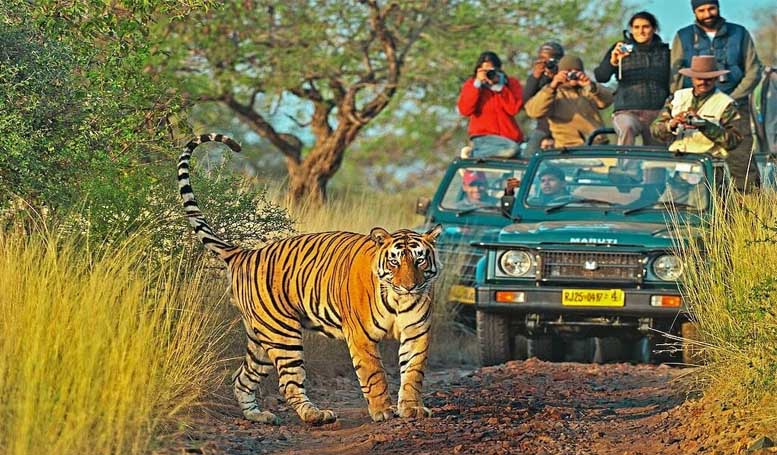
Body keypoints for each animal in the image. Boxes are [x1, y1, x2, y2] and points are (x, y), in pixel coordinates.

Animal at [177, 134, 443, 425]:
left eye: (420, 260)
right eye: (394, 262)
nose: (409, 286)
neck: (397, 300)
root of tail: (244, 253)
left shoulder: (417, 331)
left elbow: (413, 373)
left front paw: (412, 408)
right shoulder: (361, 337)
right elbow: (374, 375)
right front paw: (383, 410)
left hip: (260, 339)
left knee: (242, 378)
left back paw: (259, 416)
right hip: (282, 333)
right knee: (289, 382)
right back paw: (315, 415)